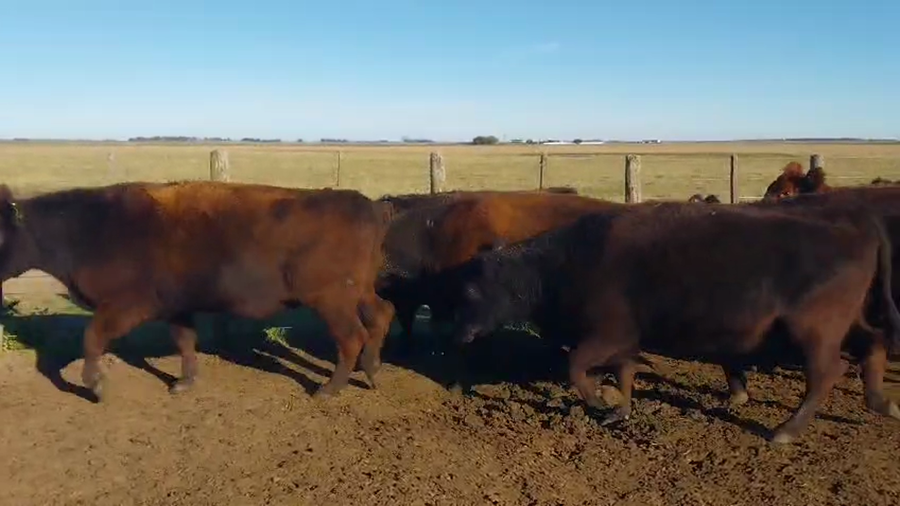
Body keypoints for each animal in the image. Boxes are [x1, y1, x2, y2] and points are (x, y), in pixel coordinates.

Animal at [0, 181, 395, 401]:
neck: (89, 227)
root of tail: (367, 204)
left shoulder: (125, 306)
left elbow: (92, 337)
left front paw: (96, 386)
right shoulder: (175, 306)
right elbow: (185, 340)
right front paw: (184, 382)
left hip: (332, 301)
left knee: (351, 337)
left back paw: (329, 389)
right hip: (359, 293)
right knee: (381, 315)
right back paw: (372, 371)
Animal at [444, 201, 900, 443]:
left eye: (471, 291)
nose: (457, 334)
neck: (561, 265)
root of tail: (857, 231)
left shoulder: (604, 335)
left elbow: (576, 367)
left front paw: (599, 402)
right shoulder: (623, 341)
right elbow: (623, 374)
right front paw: (619, 409)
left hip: (814, 332)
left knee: (826, 372)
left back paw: (786, 430)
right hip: (850, 323)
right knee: (874, 345)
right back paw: (883, 403)